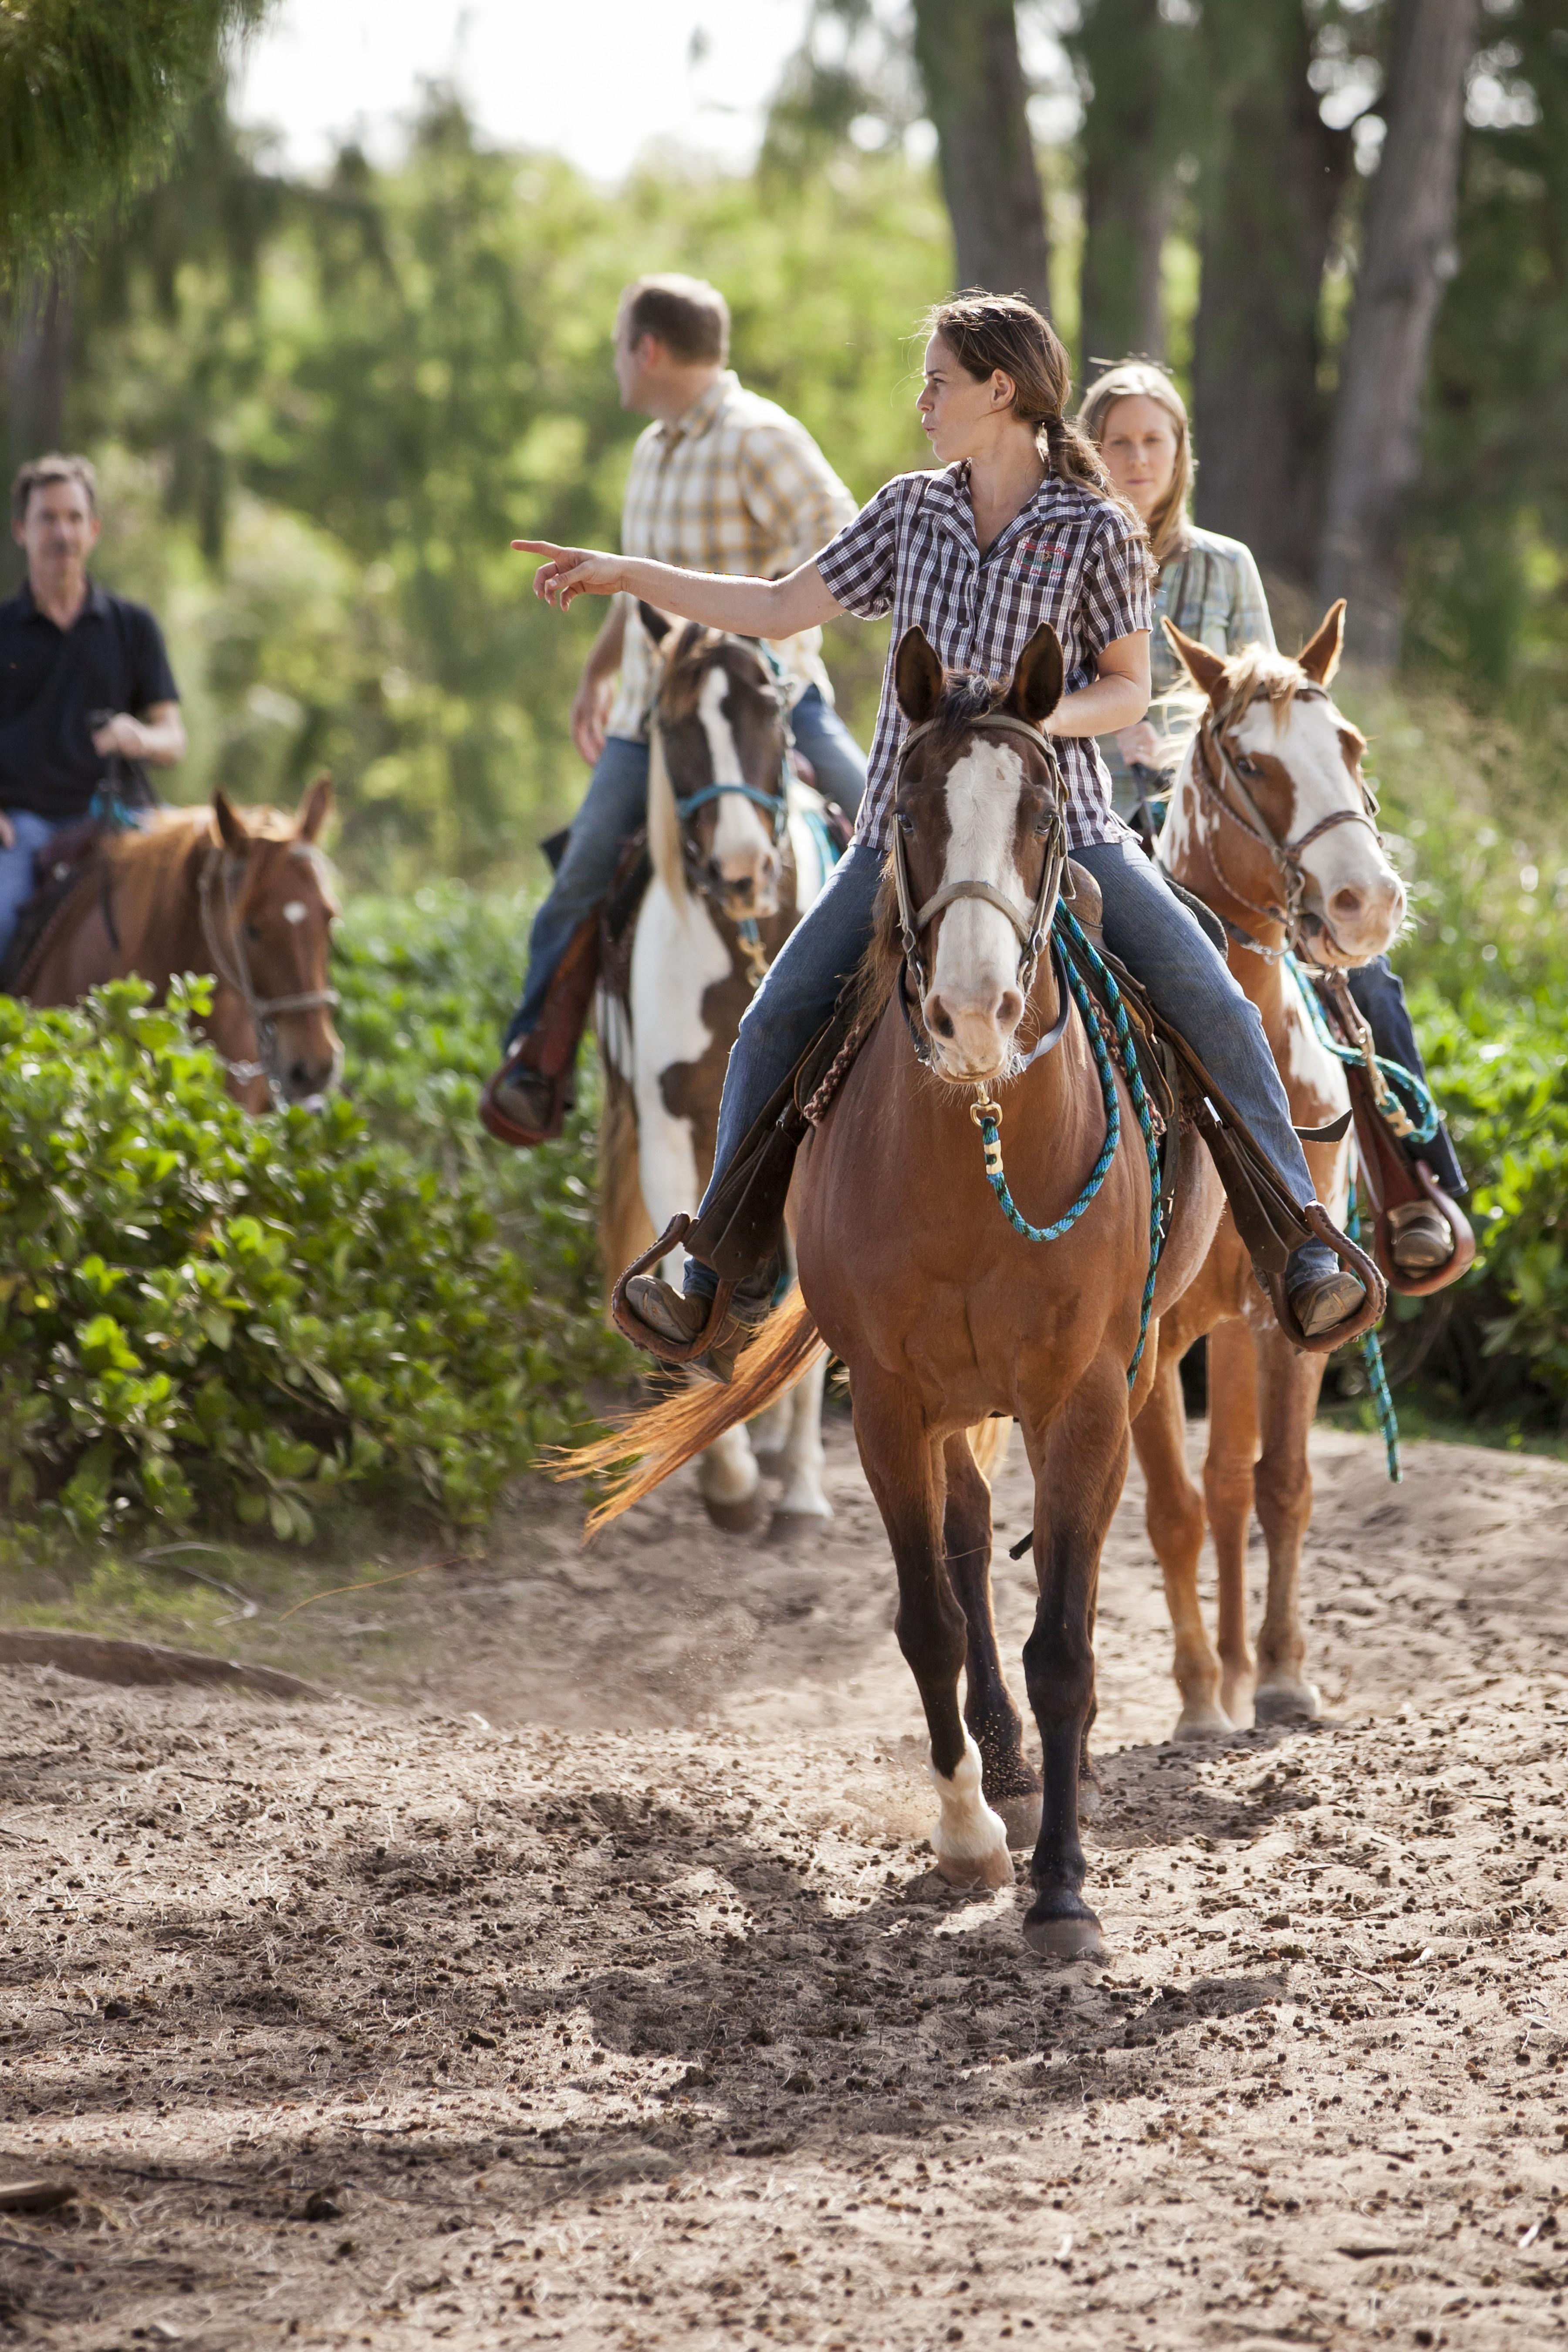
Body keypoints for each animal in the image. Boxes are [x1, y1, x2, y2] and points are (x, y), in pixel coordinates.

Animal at [595, 616, 841, 1533]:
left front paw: (802, 1485)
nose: (741, 869)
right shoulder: (669, 1129)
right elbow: (682, 1270)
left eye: (770, 708)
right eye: (669, 728)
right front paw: (728, 1475)